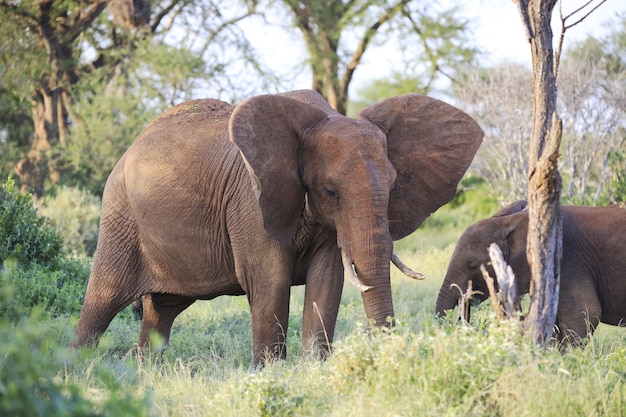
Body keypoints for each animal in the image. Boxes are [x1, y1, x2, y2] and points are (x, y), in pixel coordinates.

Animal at [74, 89, 482, 362]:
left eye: (394, 184)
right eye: (330, 191)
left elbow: (327, 281)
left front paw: (315, 367)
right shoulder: (251, 202)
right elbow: (270, 280)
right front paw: (270, 370)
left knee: (161, 311)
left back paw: (147, 370)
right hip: (120, 217)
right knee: (103, 300)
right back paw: (78, 367)